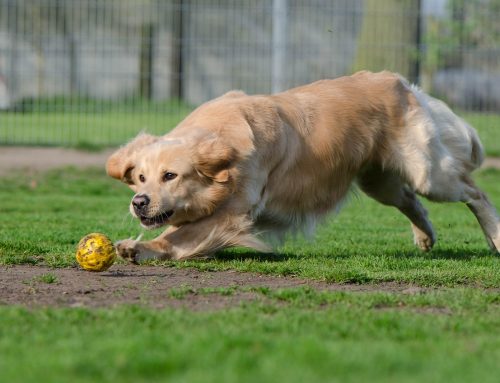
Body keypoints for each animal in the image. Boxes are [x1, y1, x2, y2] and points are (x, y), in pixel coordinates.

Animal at [107, 71, 498, 264]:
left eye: (170, 176)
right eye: (140, 177)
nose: (139, 202)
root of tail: (399, 81)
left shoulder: (232, 214)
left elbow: (177, 235)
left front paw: (139, 248)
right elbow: (177, 233)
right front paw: (138, 247)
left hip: (428, 173)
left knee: (474, 192)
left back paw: (495, 237)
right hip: (379, 181)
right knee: (411, 201)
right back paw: (425, 237)